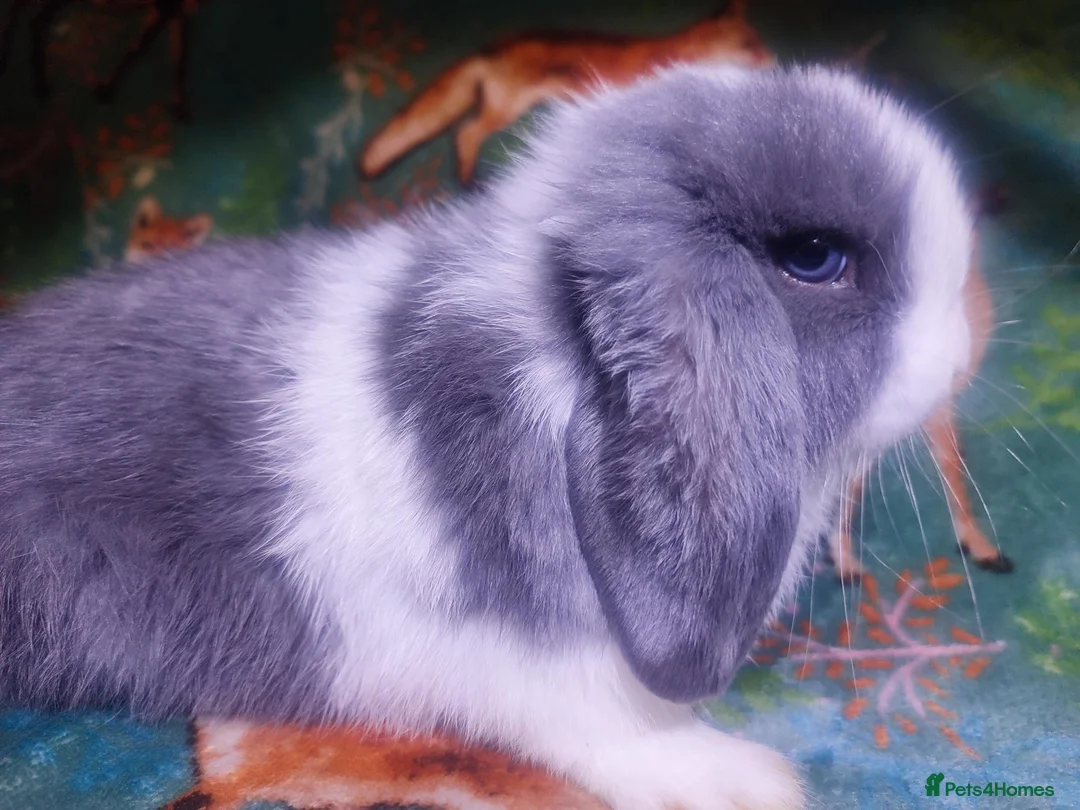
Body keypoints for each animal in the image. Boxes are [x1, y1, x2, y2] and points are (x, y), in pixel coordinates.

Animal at [0, 64, 975, 810]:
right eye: (813, 258)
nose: (965, 343)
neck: (558, 361)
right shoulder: (525, 661)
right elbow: (599, 722)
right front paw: (738, 779)